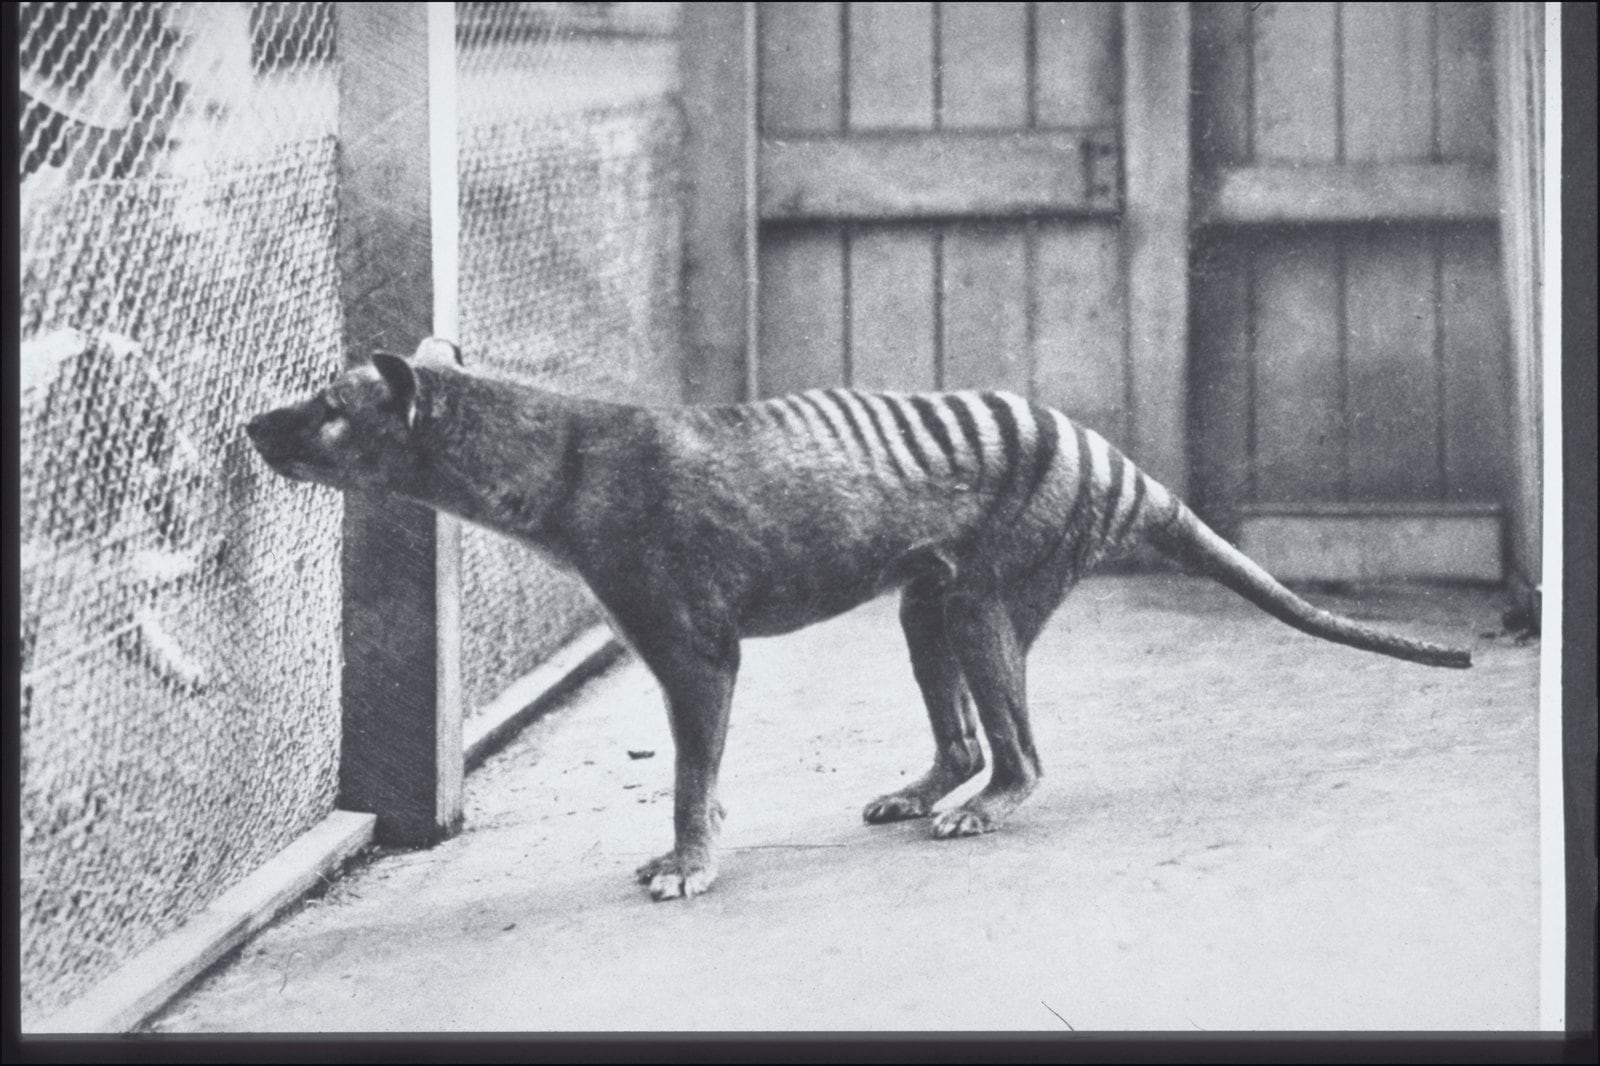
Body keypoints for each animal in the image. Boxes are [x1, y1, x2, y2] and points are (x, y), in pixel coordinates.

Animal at [246, 338, 1471, 901]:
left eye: (328, 407)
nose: (252, 425)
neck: (563, 459)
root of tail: (1120, 466)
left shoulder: (694, 644)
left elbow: (691, 768)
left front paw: (688, 861)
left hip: (986, 597)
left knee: (1020, 752)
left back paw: (979, 810)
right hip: (928, 602)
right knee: (965, 734)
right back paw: (925, 789)